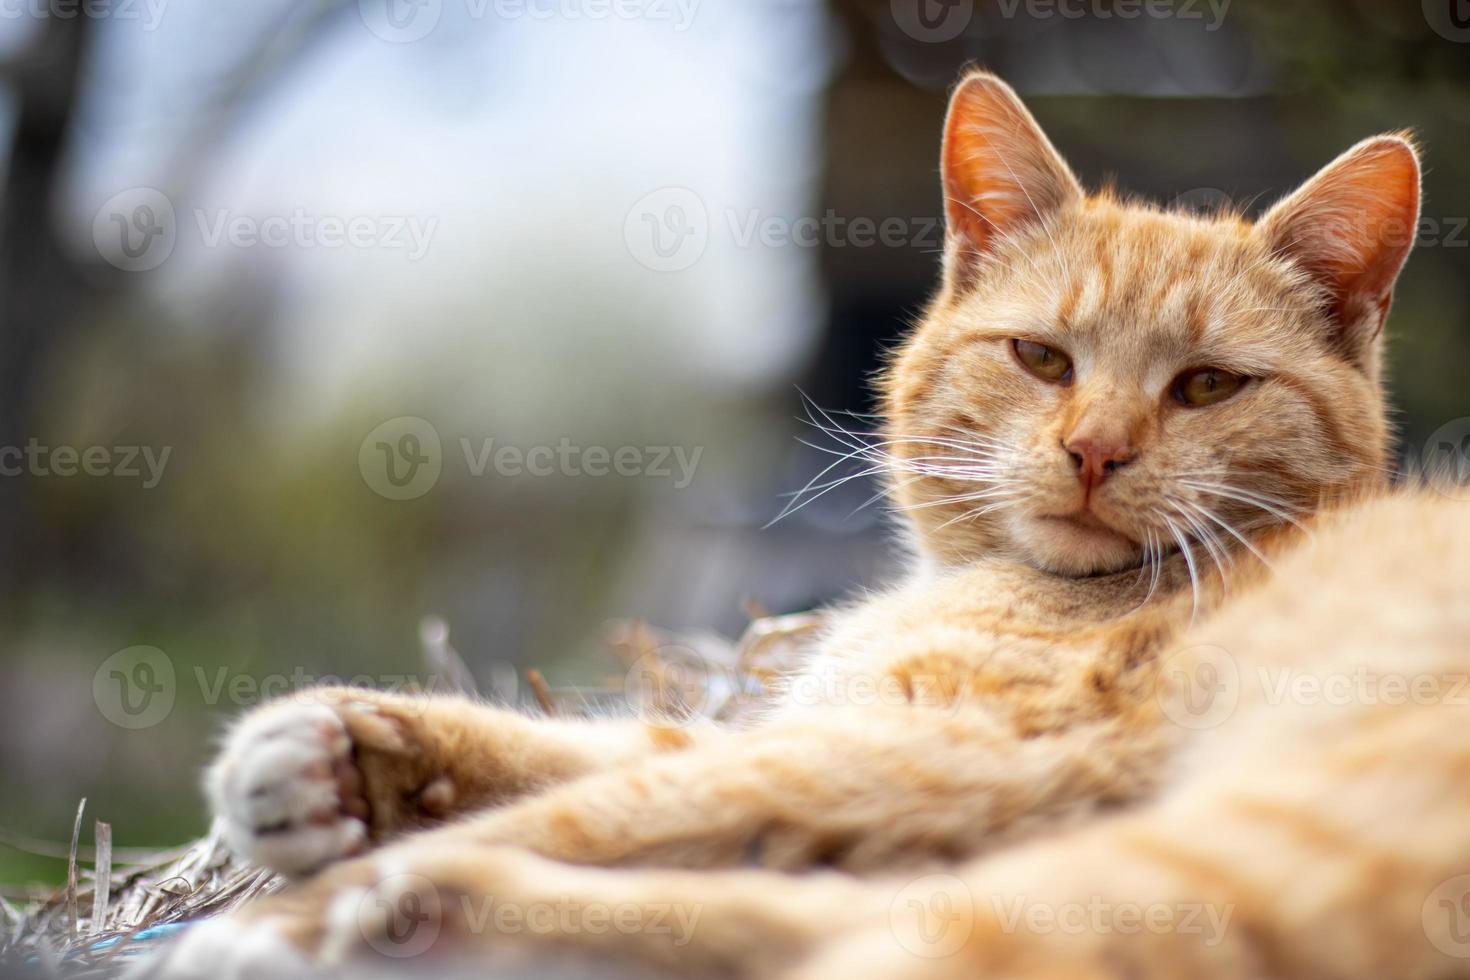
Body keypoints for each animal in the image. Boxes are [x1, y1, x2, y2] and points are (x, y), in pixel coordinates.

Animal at [140, 70, 1470, 980]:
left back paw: (388, 910)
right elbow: (608, 746)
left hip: (1259, 828)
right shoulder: (823, 726)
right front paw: (330, 754)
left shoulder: (938, 749)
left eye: (1205, 386)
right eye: (1042, 358)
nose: (1095, 449)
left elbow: (601, 802)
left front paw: (294, 902)